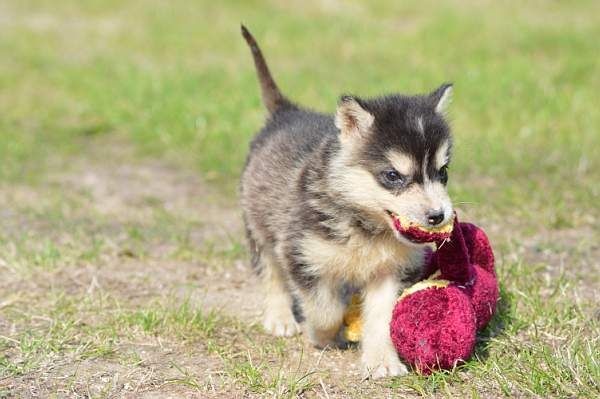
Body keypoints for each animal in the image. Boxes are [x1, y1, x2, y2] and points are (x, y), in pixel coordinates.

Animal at [239, 27, 454, 378]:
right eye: (392, 176)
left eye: (443, 172)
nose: (438, 216)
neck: (364, 225)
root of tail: (287, 112)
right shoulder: (300, 252)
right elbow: (325, 309)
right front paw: (323, 336)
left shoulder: (391, 271)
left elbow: (381, 317)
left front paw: (381, 361)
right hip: (259, 225)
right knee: (270, 271)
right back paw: (280, 318)